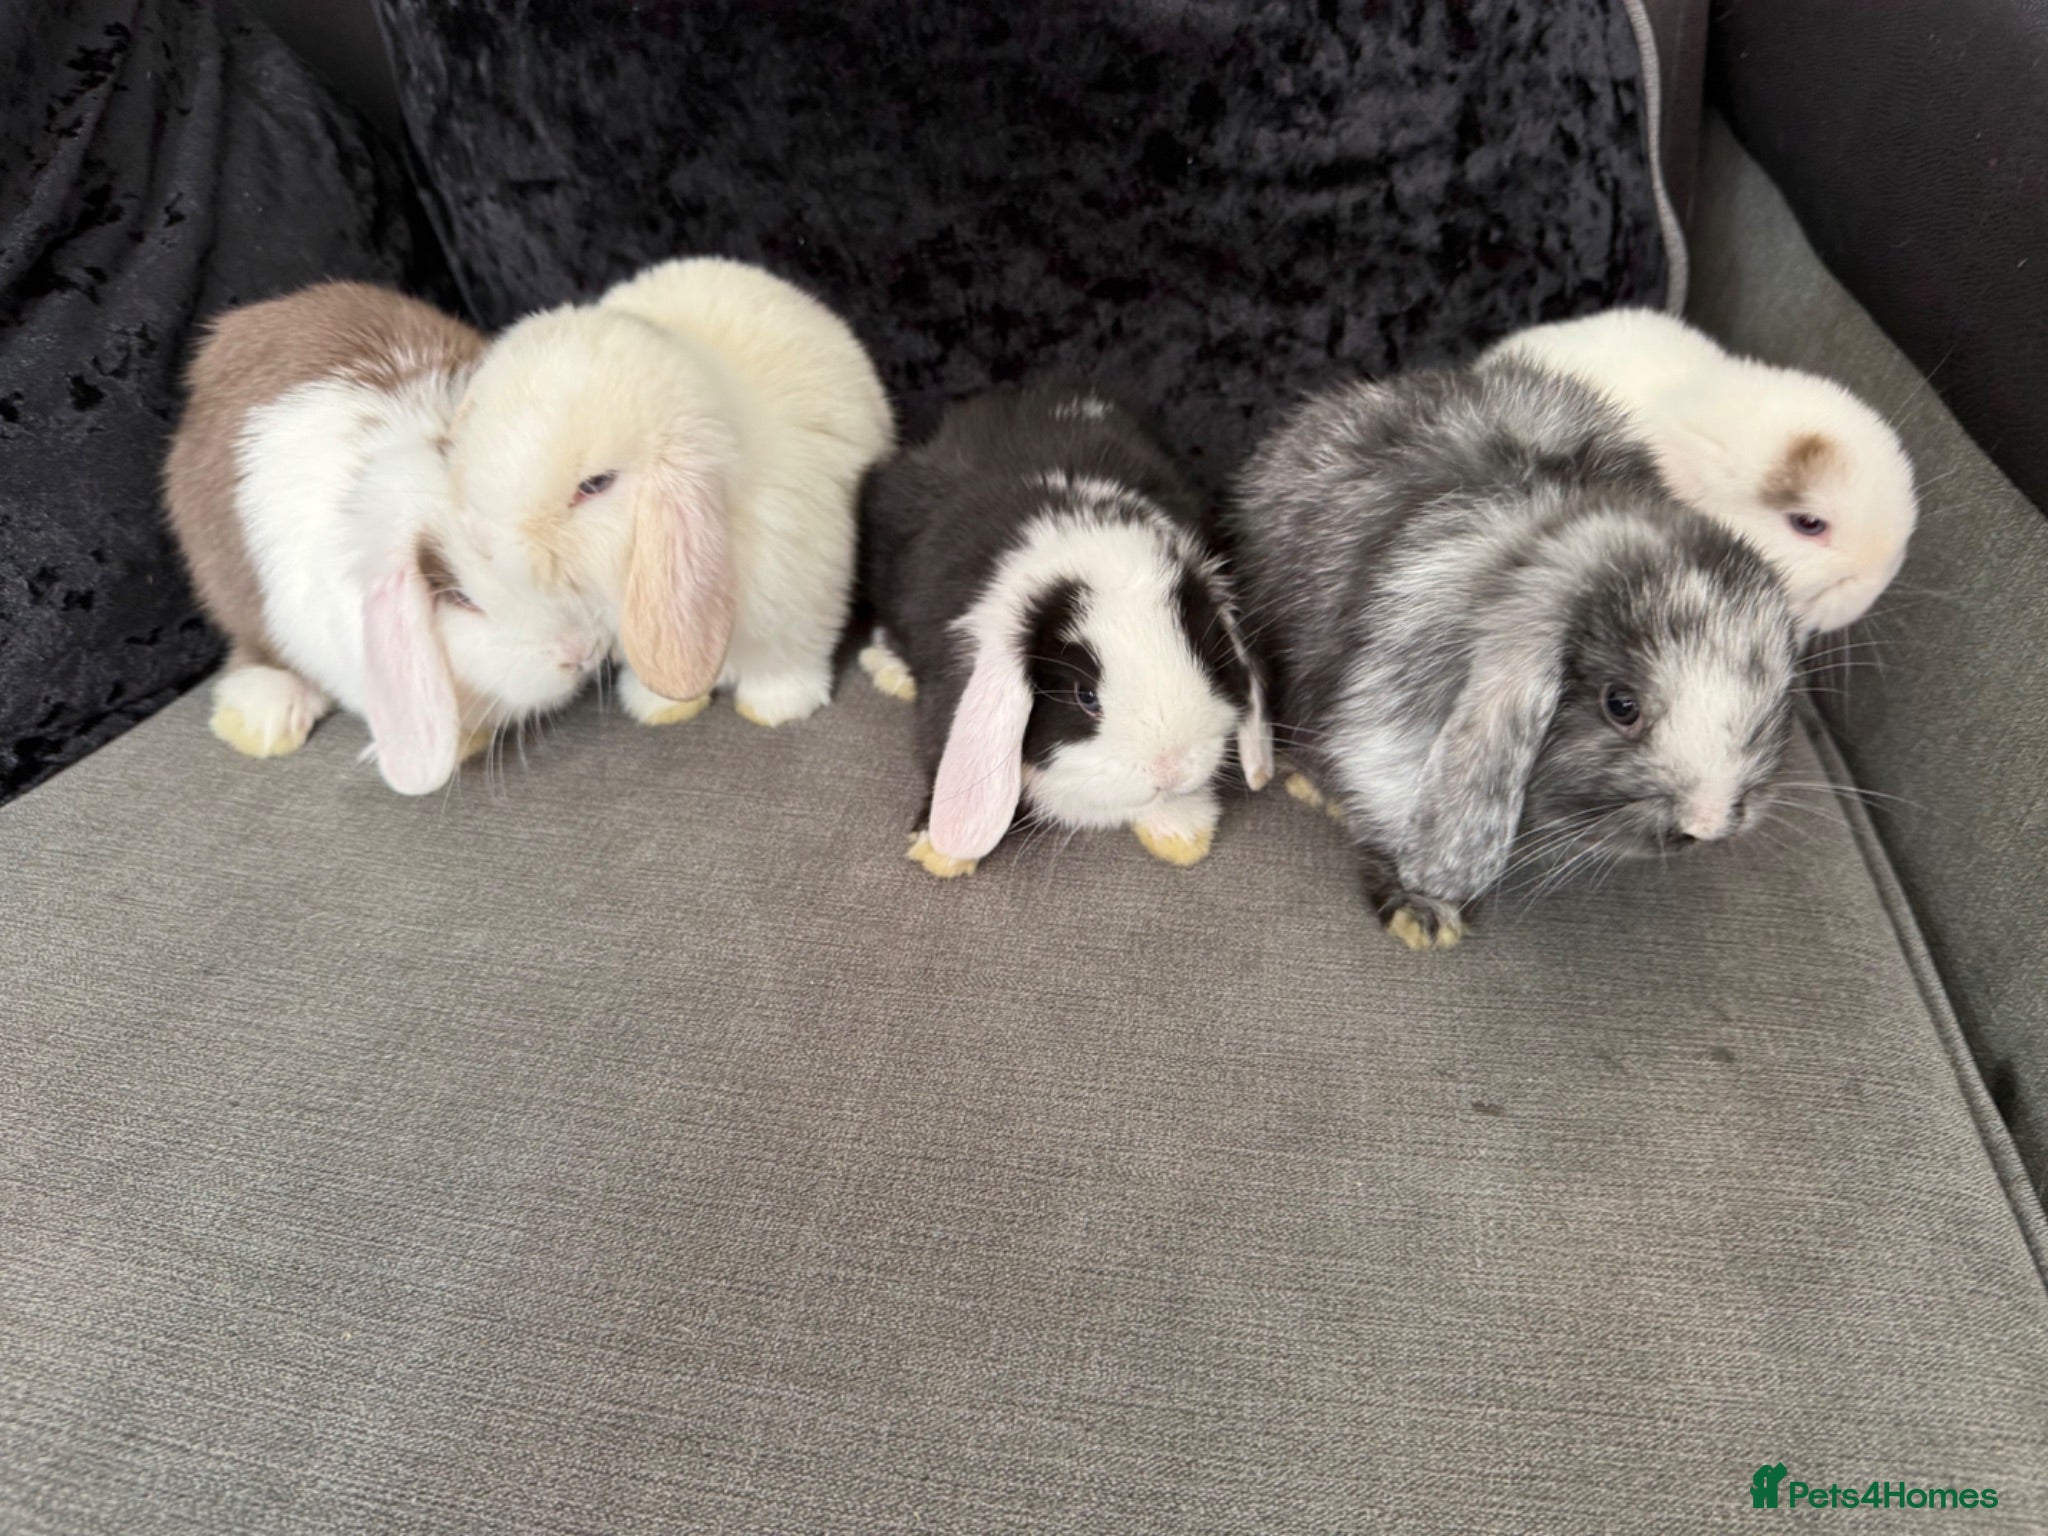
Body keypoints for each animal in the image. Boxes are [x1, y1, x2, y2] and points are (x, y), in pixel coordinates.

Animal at [444, 257, 894, 730]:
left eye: (595, 485)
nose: (483, 539)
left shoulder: (800, 605)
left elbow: (785, 664)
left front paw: (775, 709)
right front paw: (660, 708)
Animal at [860, 378, 1273, 879]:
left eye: (1210, 665)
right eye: (1085, 696)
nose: (1170, 769)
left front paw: (1182, 833)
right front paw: (940, 852)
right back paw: (890, 671)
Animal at [1229, 361, 1799, 950]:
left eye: (1775, 703)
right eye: (1621, 705)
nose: (1707, 823)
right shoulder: (1390, 716)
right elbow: (1386, 791)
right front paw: (1424, 915)